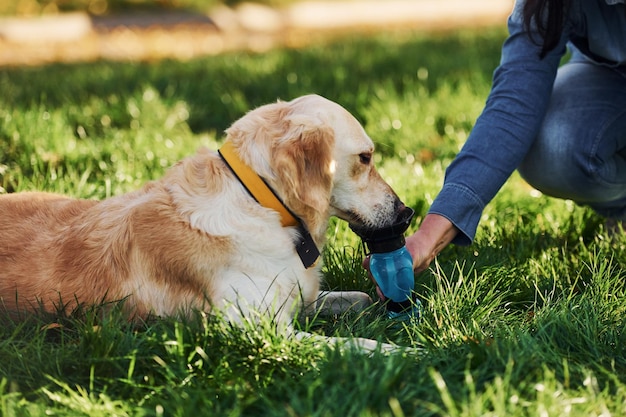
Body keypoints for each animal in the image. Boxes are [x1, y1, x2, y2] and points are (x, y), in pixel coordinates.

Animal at [0, 93, 408, 352]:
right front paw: (403, 354)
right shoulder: (259, 331)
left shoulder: (295, 298)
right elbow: (355, 345)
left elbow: (356, 297)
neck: (260, 202)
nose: (406, 212)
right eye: (366, 158)